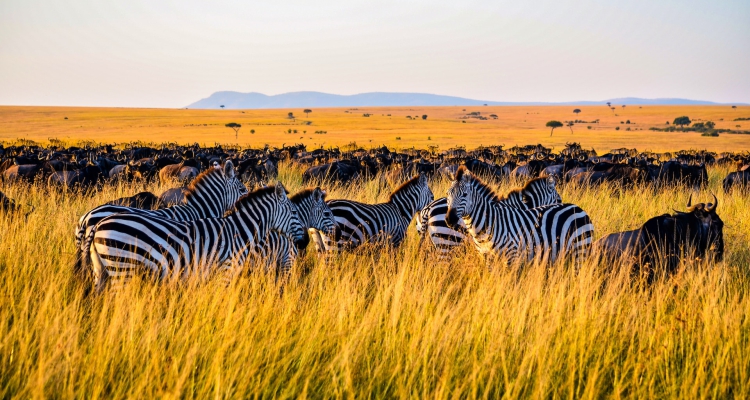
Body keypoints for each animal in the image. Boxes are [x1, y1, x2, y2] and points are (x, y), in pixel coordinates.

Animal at [88, 184, 303, 292]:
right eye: (294, 212)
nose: (304, 242)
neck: (239, 232)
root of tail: (98, 224)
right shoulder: (225, 272)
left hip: (102, 270)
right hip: (122, 267)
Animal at [445, 166, 593, 265]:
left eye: (465, 195)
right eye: (448, 194)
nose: (449, 219)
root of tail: (578, 208)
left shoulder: (512, 256)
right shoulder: (486, 257)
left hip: (580, 250)